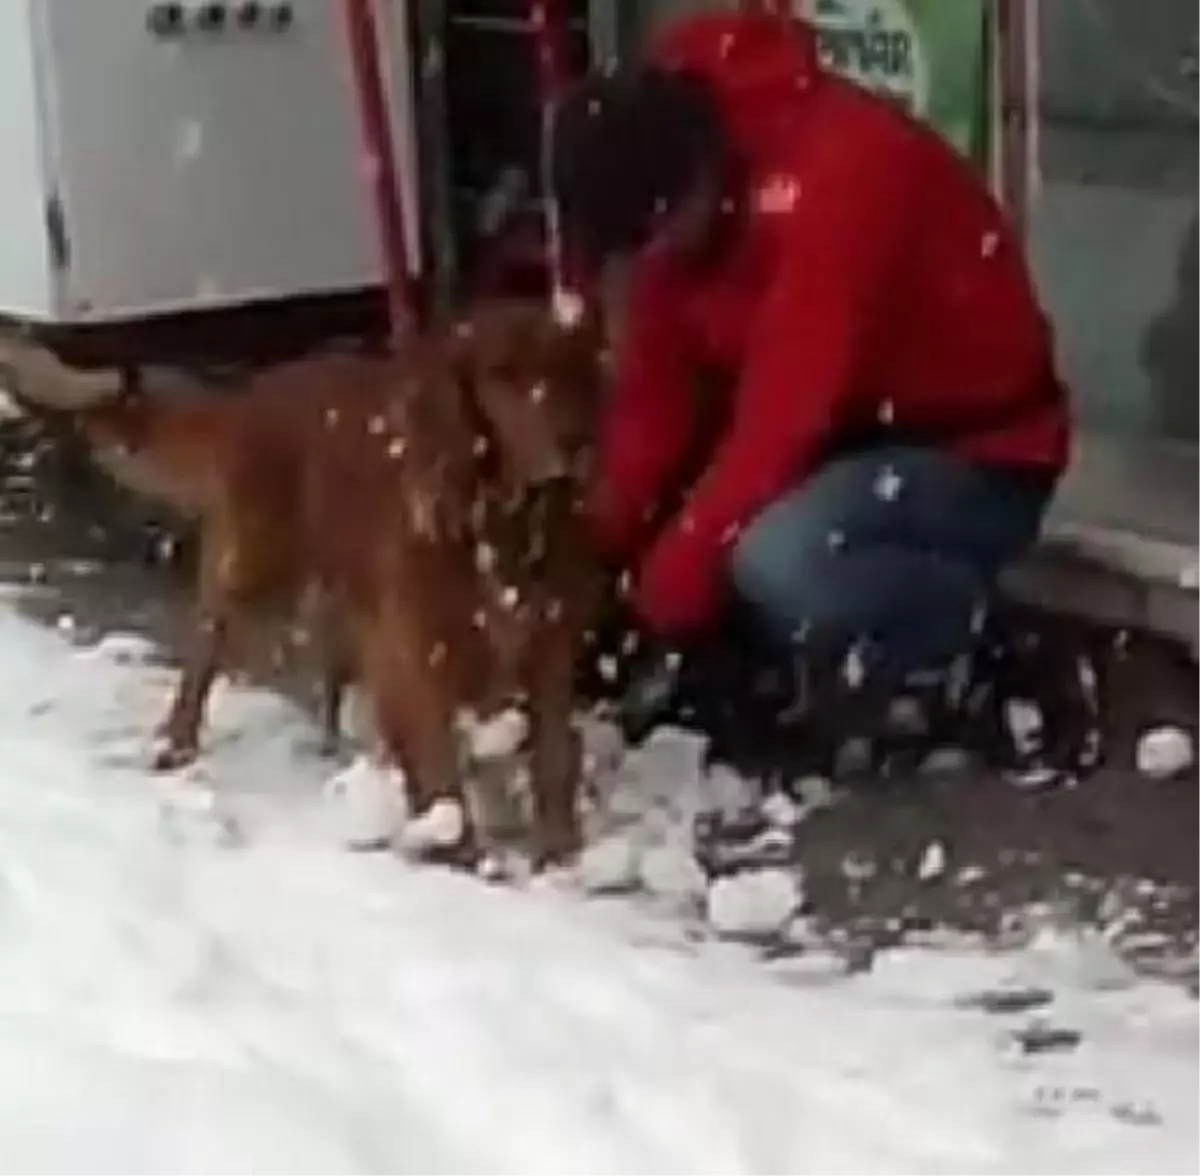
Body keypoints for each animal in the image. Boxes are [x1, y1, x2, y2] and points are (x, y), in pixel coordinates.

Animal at [72, 298, 609, 868]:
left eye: (568, 367)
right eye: (503, 372)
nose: (577, 440)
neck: (502, 523)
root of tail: (257, 389)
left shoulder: (548, 646)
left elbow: (554, 758)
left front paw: (562, 855)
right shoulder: (418, 655)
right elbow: (440, 772)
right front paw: (463, 854)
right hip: (253, 567)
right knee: (202, 652)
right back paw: (176, 744)